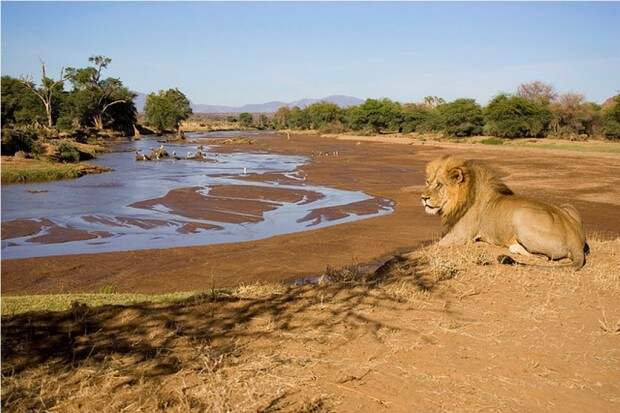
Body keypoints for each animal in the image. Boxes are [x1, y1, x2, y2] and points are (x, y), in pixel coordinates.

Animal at [418, 154, 588, 268]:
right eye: (427, 182)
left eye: (439, 185)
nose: (423, 197)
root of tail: (576, 240)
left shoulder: (460, 236)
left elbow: (433, 246)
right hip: (569, 206)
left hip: (521, 215)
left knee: (543, 257)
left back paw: (513, 247)